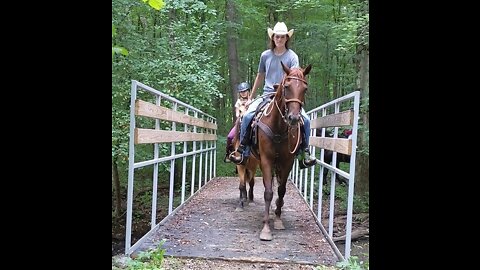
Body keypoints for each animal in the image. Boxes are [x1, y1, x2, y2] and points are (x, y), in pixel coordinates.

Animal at [249, 61, 314, 240]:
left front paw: (278, 219)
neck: (278, 127)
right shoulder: (266, 160)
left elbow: (281, 190)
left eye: (305, 89)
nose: (294, 118)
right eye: (286, 86)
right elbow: (268, 192)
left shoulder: (287, 162)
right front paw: (266, 228)